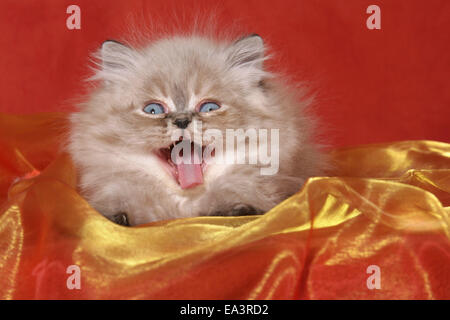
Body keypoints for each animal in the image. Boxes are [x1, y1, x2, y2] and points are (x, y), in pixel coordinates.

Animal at [67, 32, 326, 225]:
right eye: (153, 110)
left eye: (209, 107)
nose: (182, 120)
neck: (185, 207)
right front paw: (117, 217)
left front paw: (234, 210)